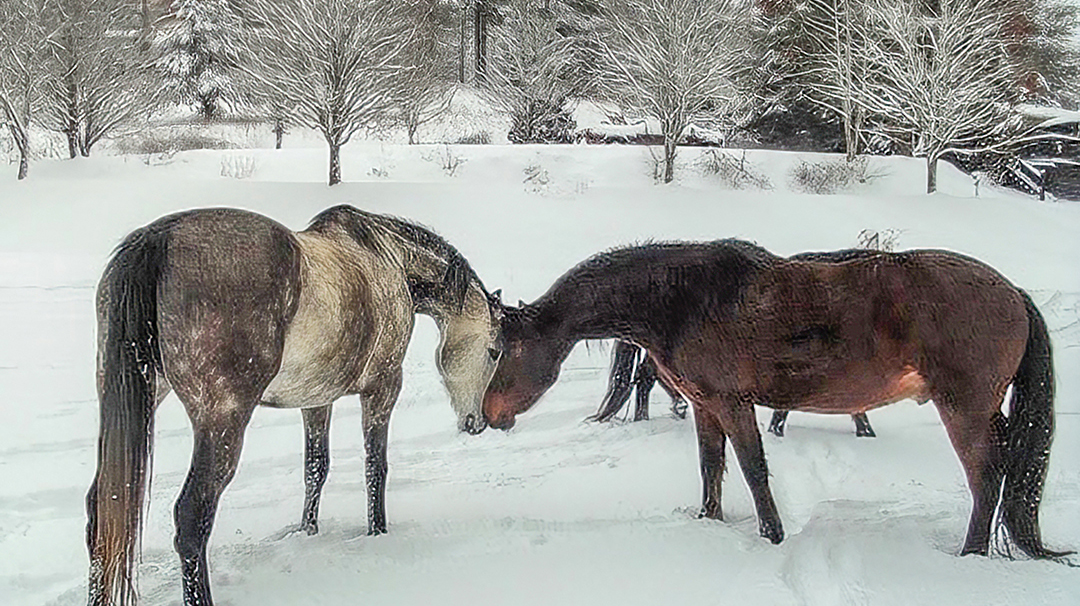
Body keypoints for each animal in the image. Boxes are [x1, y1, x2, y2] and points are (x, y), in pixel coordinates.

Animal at [87, 205, 503, 606]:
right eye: (495, 351)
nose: (478, 422)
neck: (389, 259)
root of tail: (159, 240)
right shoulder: (383, 387)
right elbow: (375, 466)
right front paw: (378, 531)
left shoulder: (316, 400)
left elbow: (315, 468)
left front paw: (308, 531)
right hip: (223, 421)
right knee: (192, 516)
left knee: (100, 510)